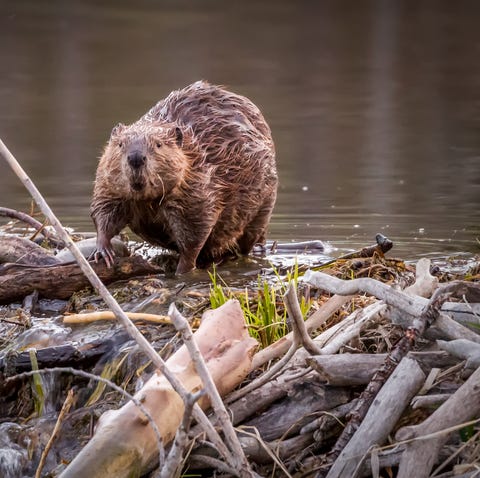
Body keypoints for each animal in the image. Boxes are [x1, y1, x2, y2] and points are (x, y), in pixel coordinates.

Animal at [91, 81, 278, 274]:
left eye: (159, 144)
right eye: (120, 144)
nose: (136, 157)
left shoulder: (198, 188)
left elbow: (195, 232)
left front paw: (183, 270)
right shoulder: (107, 183)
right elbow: (103, 210)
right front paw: (102, 251)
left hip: (264, 205)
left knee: (248, 239)